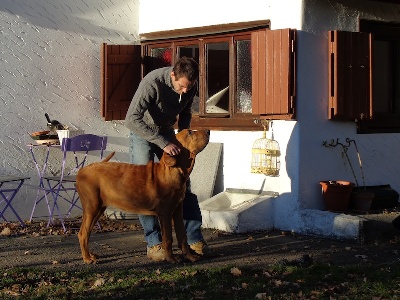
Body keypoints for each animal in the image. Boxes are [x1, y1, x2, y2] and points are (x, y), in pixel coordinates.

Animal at [76, 129, 211, 262]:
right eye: (190, 133)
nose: (208, 131)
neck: (173, 171)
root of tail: (82, 170)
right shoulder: (165, 213)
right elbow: (168, 238)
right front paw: (171, 259)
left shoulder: (177, 210)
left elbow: (182, 236)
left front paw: (190, 256)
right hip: (92, 207)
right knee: (83, 232)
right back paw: (87, 258)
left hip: (99, 208)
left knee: (87, 231)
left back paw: (90, 255)